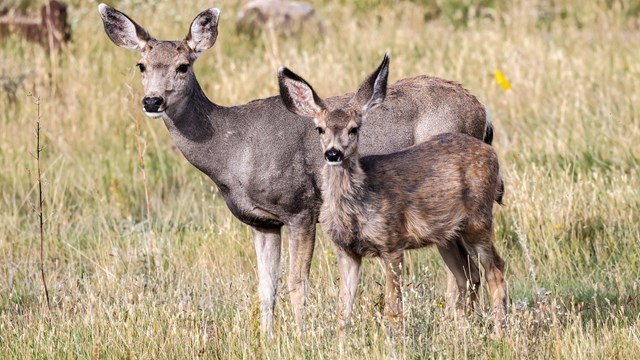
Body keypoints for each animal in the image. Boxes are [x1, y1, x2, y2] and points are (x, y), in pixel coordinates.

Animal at [278, 54, 508, 334]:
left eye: (354, 128)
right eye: (319, 129)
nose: (333, 153)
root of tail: (491, 152)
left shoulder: (392, 242)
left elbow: (393, 308)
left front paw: (397, 339)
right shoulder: (346, 250)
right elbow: (343, 312)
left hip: (478, 221)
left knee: (495, 269)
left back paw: (499, 332)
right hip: (448, 235)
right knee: (466, 274)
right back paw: (462, 330)